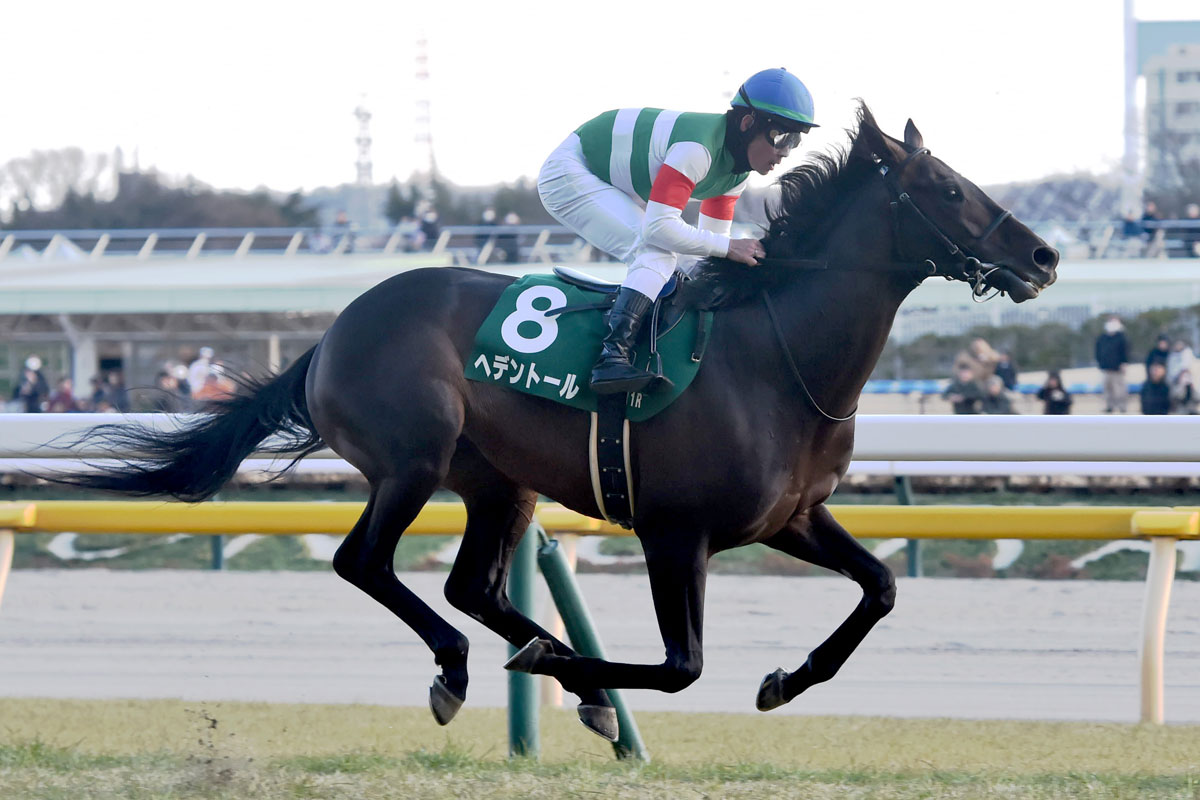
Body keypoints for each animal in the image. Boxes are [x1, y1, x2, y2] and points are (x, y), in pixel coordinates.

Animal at [51, 104, 1058, 742]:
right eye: (948, 188)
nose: (1044, 255)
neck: (777, 360)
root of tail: (334, 330)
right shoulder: (674, 531)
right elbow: (682, 665)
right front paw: (569, 674)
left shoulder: (792, 517)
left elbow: (879, 587)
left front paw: (784, 679)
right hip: (413, 459)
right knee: (364, 563)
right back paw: (471, 668)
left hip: (500, 482)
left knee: (473, 585)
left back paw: (550, 664)